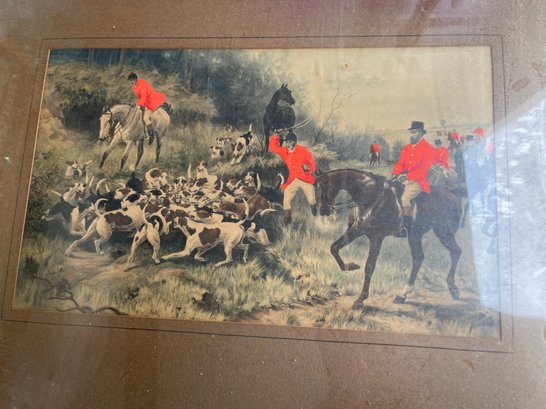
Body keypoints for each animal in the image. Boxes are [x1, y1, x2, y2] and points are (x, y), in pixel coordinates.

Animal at [315, 169, 463, 310]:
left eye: (324, 187)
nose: (323, 211)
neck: (370, 196)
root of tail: (452, 194)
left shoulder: (376, 237)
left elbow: (369, 267)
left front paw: (360, 300)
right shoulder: (354, 230)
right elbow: (334, 248)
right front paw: (351, 266)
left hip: (443, 233)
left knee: (456, 251)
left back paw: (453, 289)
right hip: (416, 235)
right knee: (419, 258)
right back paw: (402, 295)